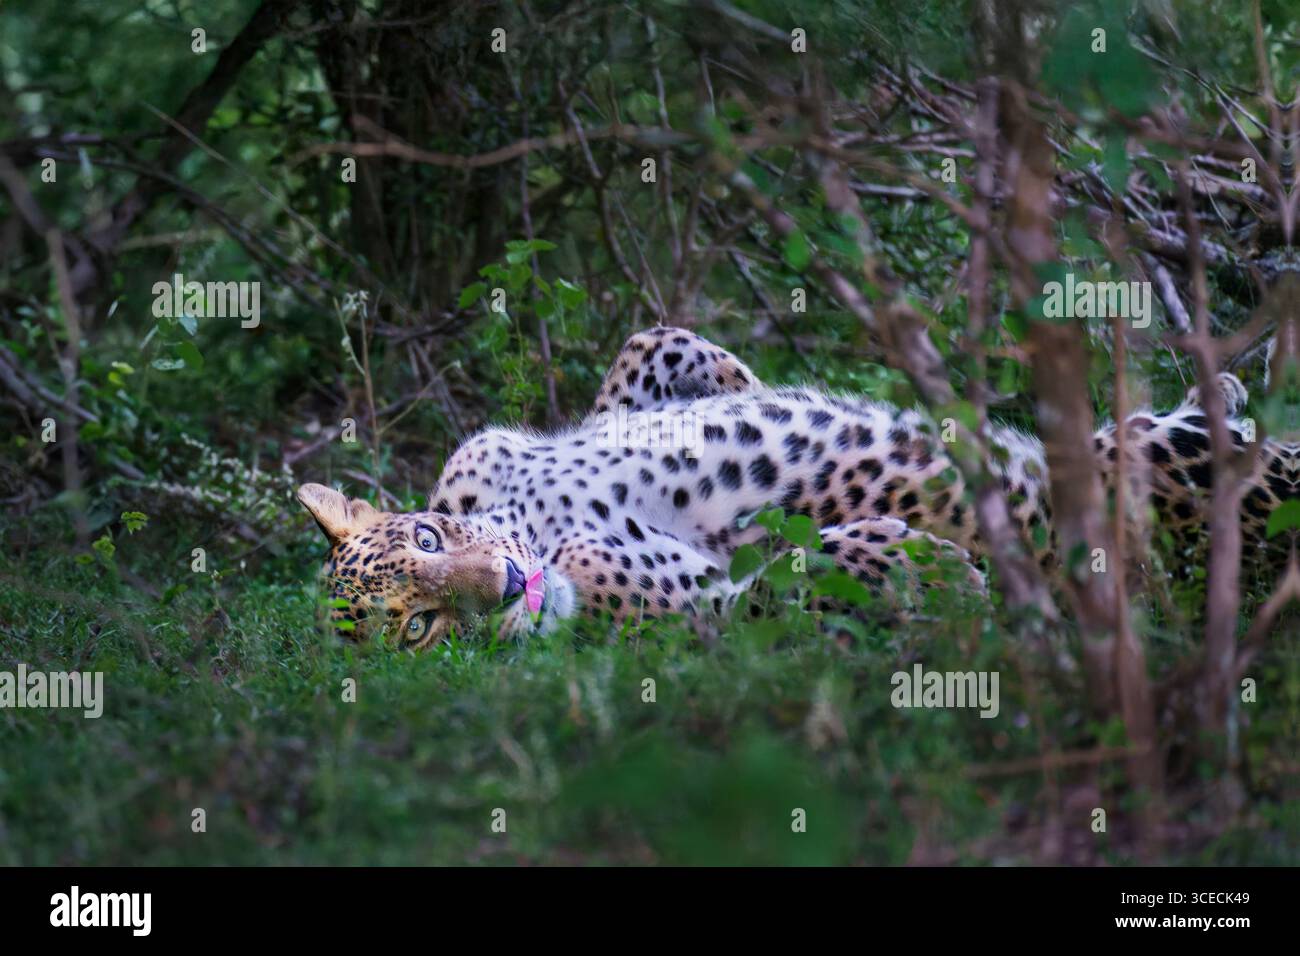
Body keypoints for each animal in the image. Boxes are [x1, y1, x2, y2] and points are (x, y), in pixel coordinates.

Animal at [298, 326, 1291, 649]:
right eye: (419, 631)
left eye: (427, 540)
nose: (505, 586)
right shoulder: (690, 610)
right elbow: (785, 584)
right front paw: (940, 567)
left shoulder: (484, 455)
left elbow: (657, 344)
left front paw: (743, 384)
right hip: (1182, 469)